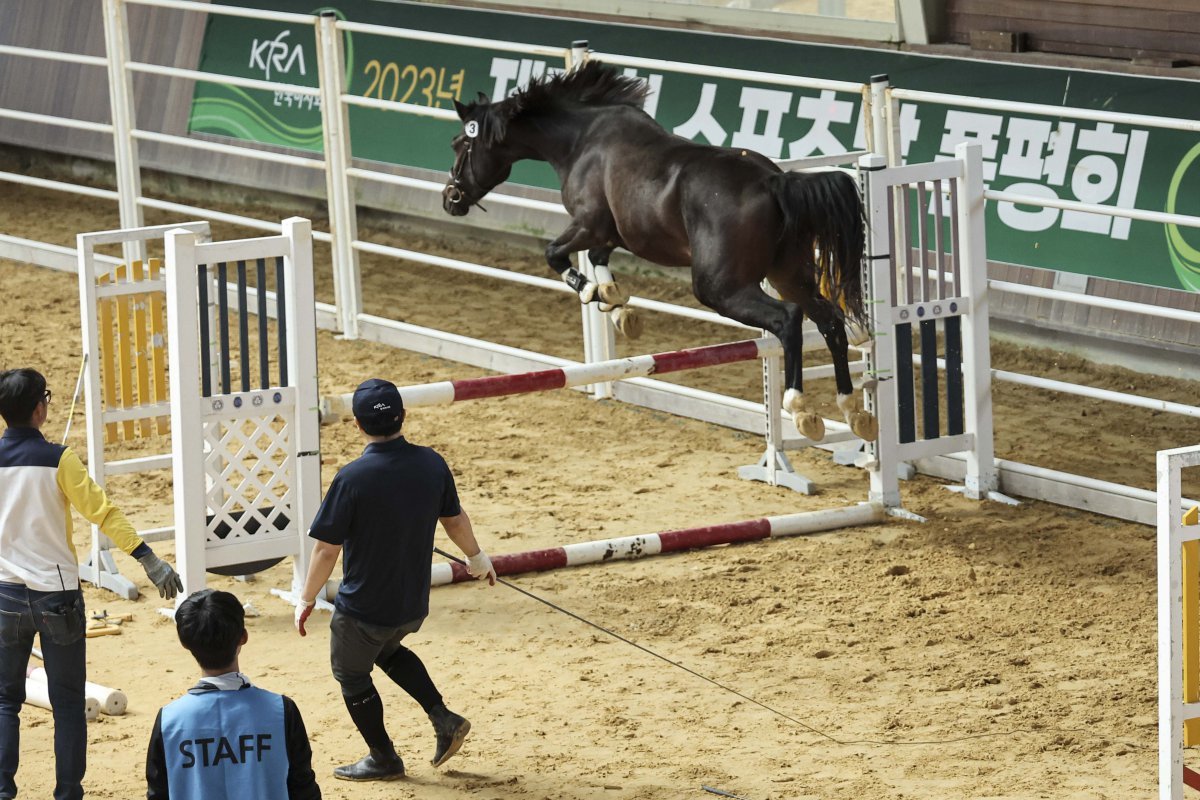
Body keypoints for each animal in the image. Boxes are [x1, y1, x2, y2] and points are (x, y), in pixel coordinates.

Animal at [446, 61, 878, 443]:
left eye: (460, 143)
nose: (451, 199)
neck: (581, 141)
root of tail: (773, 181)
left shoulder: (588, 224)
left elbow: (555, 255)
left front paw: (594, 294)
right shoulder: (616, 234)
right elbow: (600, 261)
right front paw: (617, 306)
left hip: (721, 288)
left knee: (789, 319)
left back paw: (801, 407)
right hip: (788, 274)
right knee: (830, 320)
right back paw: (854, 410)